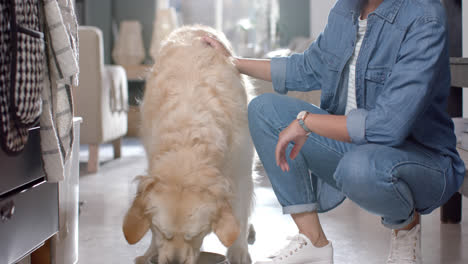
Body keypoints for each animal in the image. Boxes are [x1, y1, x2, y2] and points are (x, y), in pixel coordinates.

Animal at [123, 25, 256, 264]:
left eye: (195, 234)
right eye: (161, 231)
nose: (175, 261)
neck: (189, 139)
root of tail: (194, 27)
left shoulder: (242, 171)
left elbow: (240, 214)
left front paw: (239, 251)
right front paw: (150, 252)